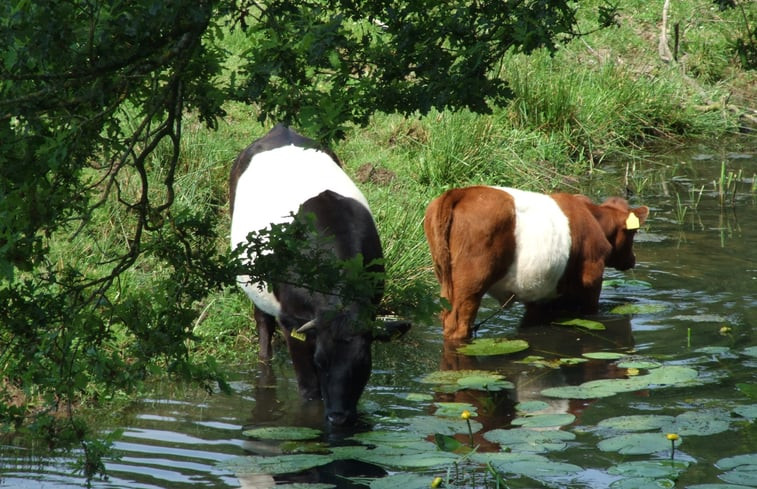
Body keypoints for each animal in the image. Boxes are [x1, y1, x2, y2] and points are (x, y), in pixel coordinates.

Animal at [229, 124, 402, 426]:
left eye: (363, 364)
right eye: (320, 362)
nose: (338, 417)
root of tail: (282, 129)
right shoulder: (292, 320)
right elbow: (309, 391)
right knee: (262, 324)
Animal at [422, 185, 648, 342]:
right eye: (633, 232)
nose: (633, 259)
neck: (593, 218)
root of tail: (459, 193)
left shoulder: (541, 293)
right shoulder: (591, 278)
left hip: (445, 280)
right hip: (471, 283)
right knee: (457, 325)